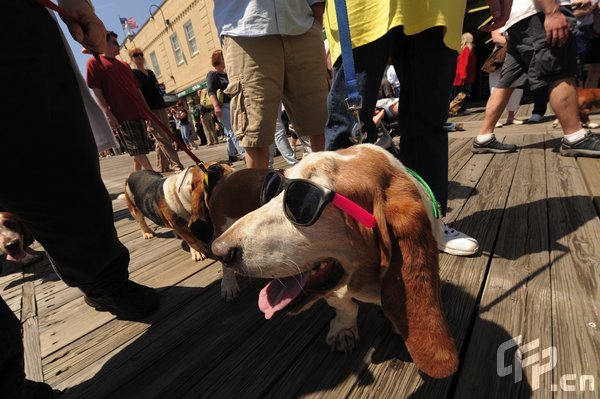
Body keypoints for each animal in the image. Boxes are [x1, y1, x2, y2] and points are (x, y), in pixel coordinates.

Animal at [214, 144, 460, 378]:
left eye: (303, 202)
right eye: (275, 191)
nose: (219, 249)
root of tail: (228, 175)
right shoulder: (336, 291)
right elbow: (345, 305)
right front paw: (343, 331)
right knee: (226, 272)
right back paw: (229, 287)